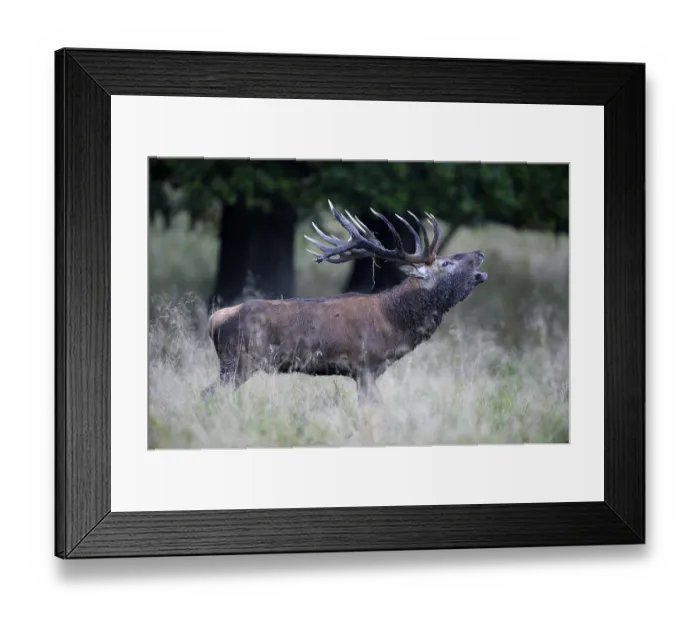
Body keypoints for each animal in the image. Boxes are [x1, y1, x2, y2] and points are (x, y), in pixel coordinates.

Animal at [203, 201, 488, 404]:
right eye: (446, 263)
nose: (479, 253)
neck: (394, 324)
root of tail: (214, 319)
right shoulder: (364, 366)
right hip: (237, 361)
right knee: (209, 395)